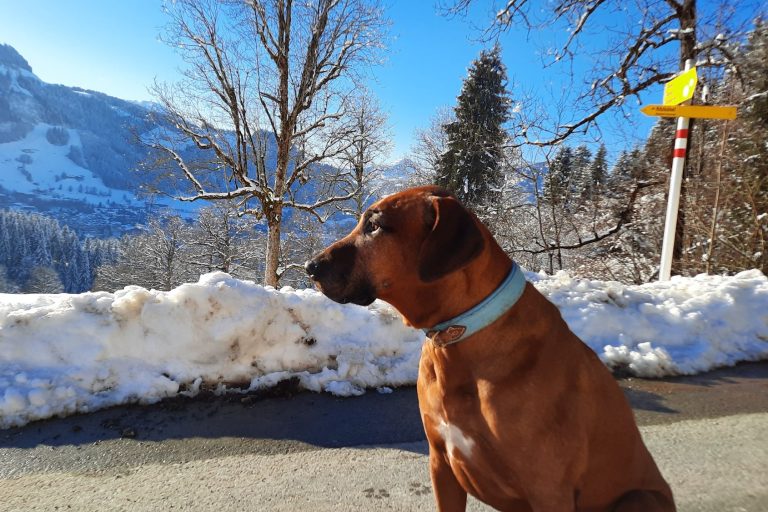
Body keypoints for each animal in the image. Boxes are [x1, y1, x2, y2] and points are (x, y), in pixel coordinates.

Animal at [304, 186, 676, 510]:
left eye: (375, 225)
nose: (311, 267)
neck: (458, 337)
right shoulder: (441, 465)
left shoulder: (548, 489)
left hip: (638, 498)